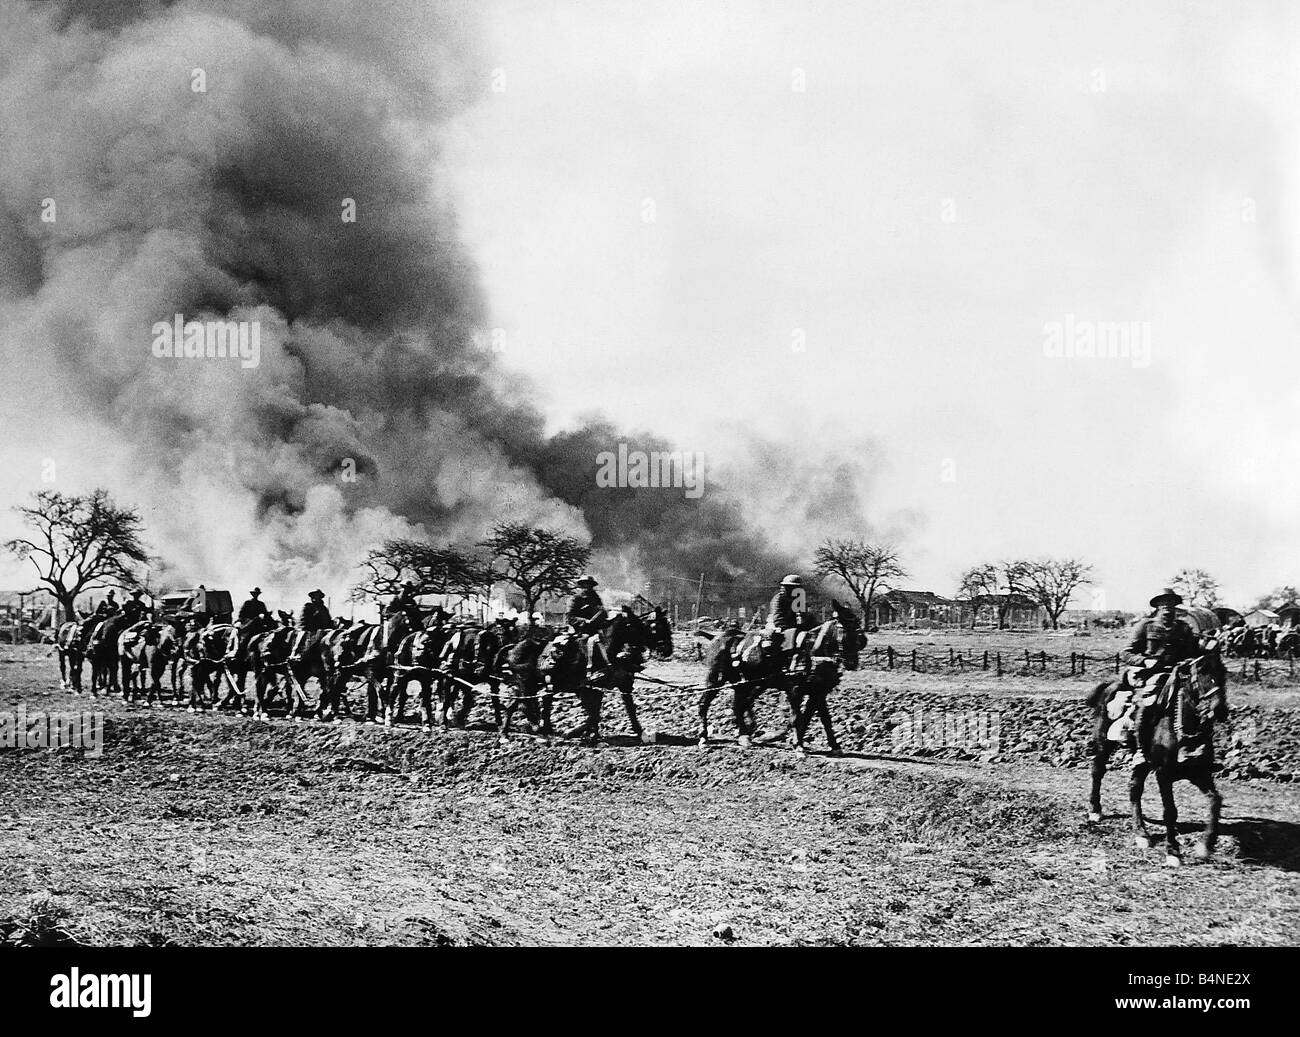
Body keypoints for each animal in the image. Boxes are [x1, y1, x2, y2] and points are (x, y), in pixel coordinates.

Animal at [1086, 649, 1227, 868]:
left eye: (1224, 672)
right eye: (1202, 671)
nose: (1220, 709)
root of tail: (1110, 685)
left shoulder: (1199, 773)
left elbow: (1215, 801)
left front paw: (1206, 845)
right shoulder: (1163, 774)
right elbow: (1170, 811)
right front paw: (1173, 851)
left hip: (1142, 760)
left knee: (1134, 788)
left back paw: (1141, 833)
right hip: (1103, 743)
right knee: (1097, 771)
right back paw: (1095, 810)